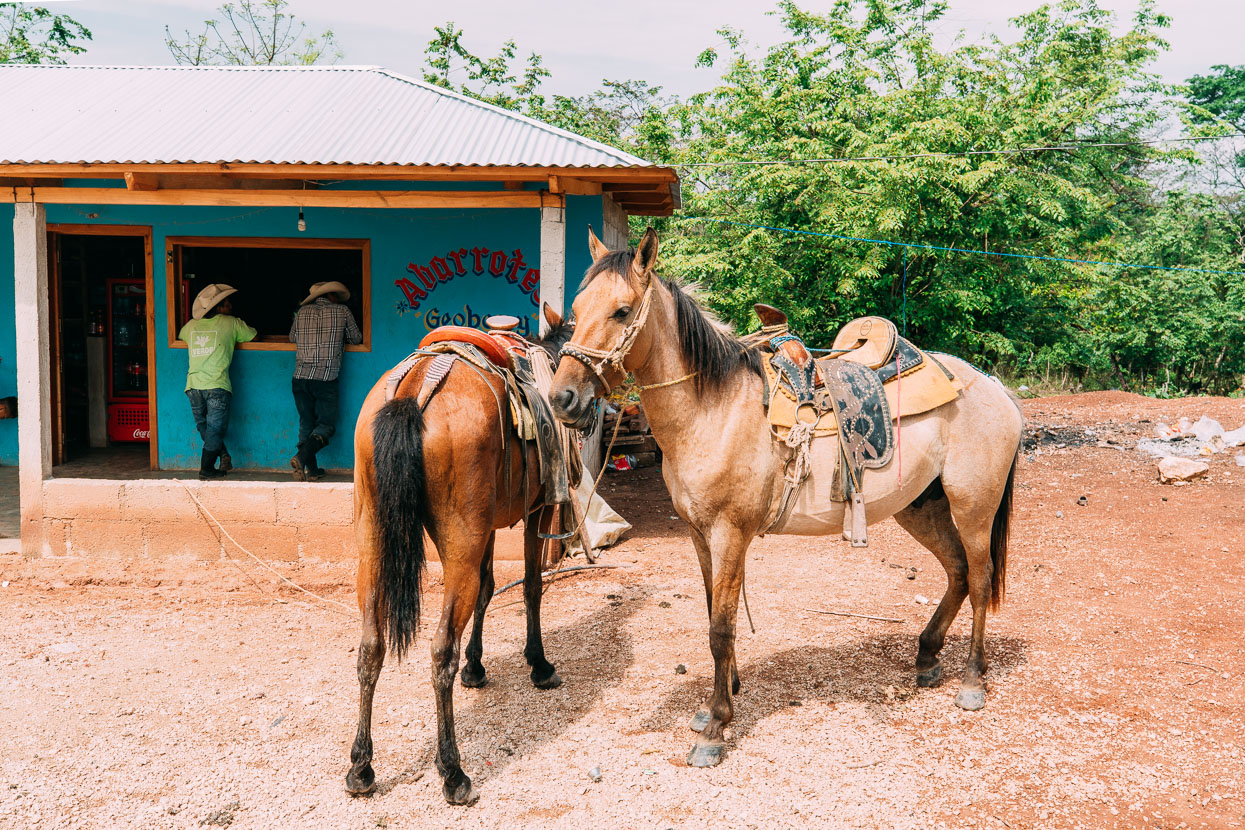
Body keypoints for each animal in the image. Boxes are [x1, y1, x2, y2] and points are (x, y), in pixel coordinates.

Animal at [348, 307, 575, 806]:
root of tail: (415, 390)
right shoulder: (537, 509)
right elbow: (531, 586)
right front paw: (539, 664)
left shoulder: (486, 528)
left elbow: (489, 590)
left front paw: (477, 665)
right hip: (459, 545)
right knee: (439, 651)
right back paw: (453, 770)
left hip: (374, 543)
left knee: (371, 644)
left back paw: (361, 765)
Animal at [552, 225, 1020, 766]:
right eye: (576, 308)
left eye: (622, 311)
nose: (563, 398)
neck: (713, 409)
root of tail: (994, 387)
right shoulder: (698, 534)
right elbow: (713, 610)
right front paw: (720, 700)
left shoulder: (730, 534)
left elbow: (720, 628)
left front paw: (716, 726)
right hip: (922, 507)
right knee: (958, 572)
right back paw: (926, 657)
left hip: (973, 507)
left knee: (981, 580)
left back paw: (972, 681)